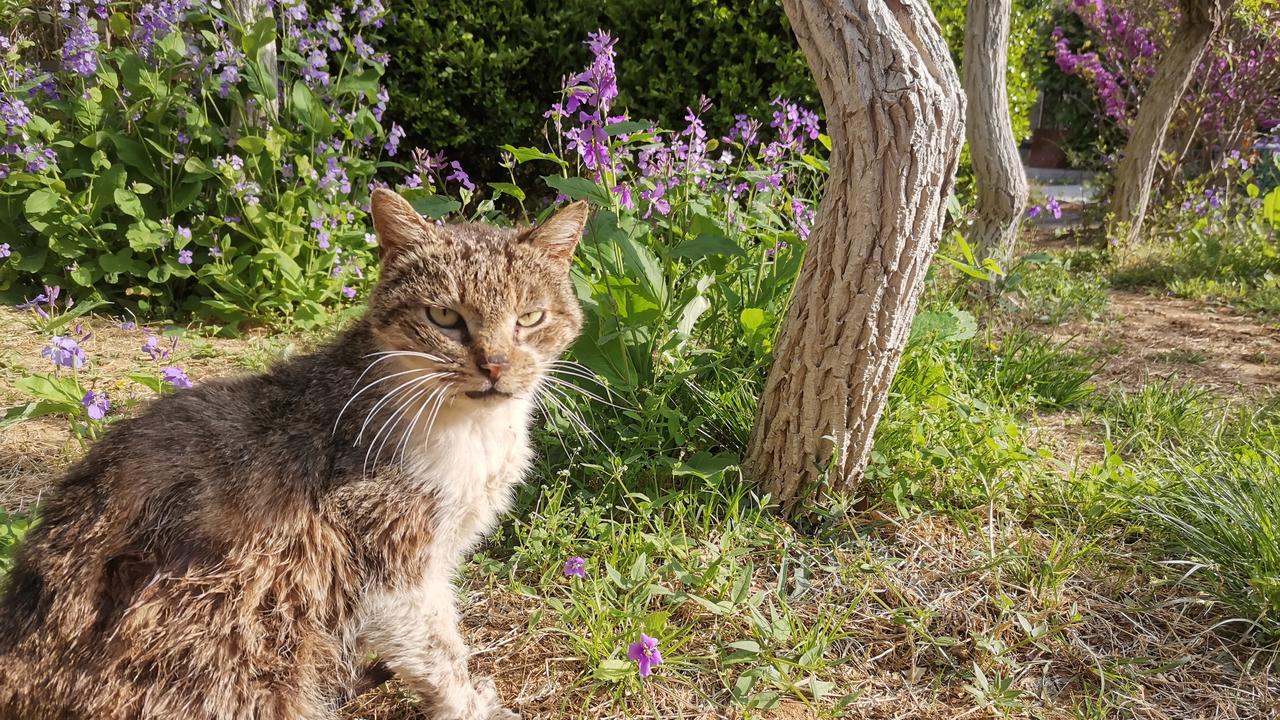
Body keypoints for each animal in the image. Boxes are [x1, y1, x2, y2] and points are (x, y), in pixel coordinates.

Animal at [0, 189, 588, 717]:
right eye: (444, 316)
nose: (495, 364)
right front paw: (471, 706)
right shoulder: (395, 567)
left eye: (530, 318)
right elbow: (438, 654)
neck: (473, 430)